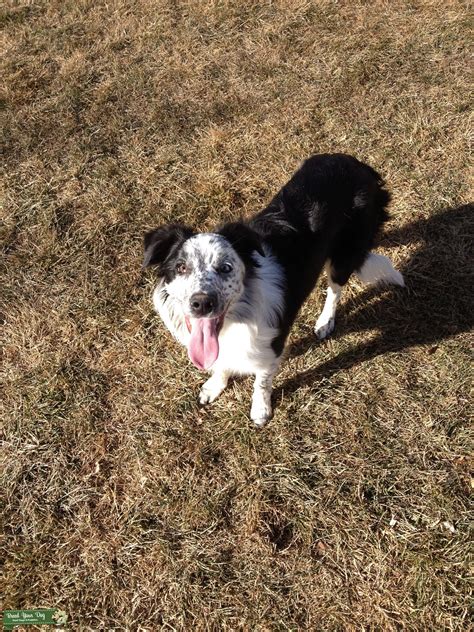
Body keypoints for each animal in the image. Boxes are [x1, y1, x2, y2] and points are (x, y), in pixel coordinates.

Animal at [143, 153, 402, 424]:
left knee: (335, 289)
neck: (235, 320)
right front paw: (215, 386)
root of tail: (360, 165)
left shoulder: (272, 345)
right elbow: (222, 363)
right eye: (181, 267)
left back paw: (325, 321)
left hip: (344, 255)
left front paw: (261, 410)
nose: (202, 303)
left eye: (226, 268)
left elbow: (262, 381)